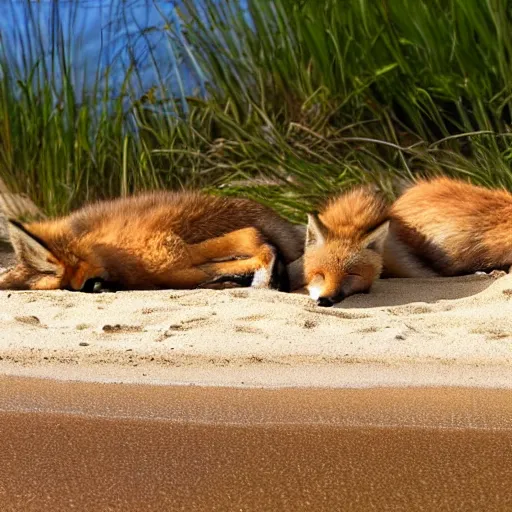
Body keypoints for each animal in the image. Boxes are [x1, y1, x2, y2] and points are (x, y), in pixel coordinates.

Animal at [0, 192, 304, 294]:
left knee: (253, 238)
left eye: (85, 283)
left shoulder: (173, 255)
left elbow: (253, 240)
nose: (101, 288)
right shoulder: (174, 265)